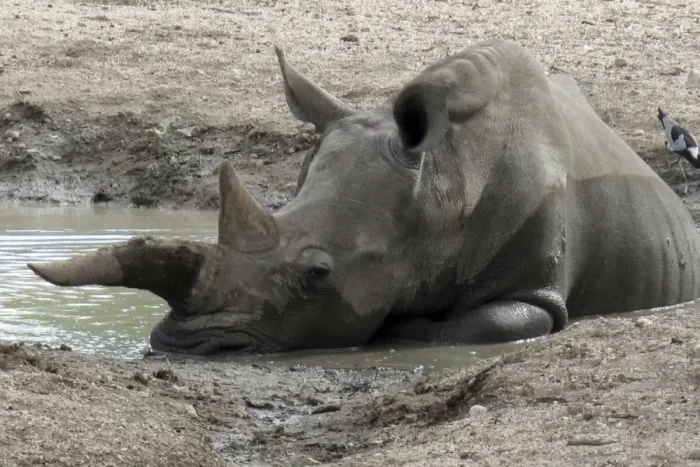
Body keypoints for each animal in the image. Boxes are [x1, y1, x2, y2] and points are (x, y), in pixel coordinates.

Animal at [28, 39, 700, 356]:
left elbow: (466, 327)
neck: (443, 180)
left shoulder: (534, 292)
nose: (181, 346)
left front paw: (401, 327)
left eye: (319, 273)